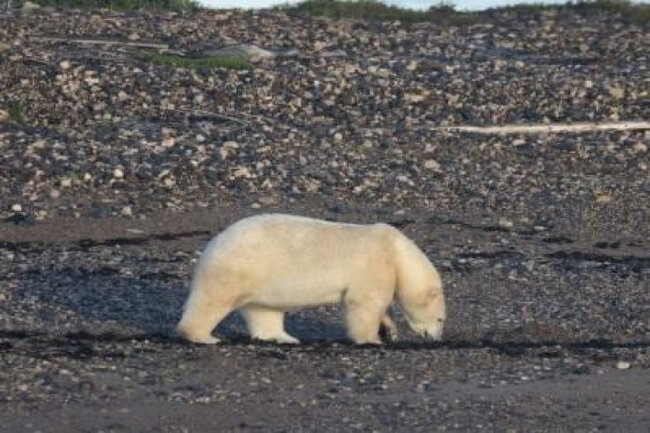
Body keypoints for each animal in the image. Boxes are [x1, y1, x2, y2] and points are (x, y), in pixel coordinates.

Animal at [175, 213, 442, 344]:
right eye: (440, 319)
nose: (436, 338)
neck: (397, 251)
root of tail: (212, 245)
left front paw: (389, 330)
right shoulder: (375, 264)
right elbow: (365, 303)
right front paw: (371, 339)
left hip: (260, 281)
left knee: (263, 310)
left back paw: (285, 337)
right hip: (238, 268)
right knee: (212, 301)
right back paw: (204, 337)